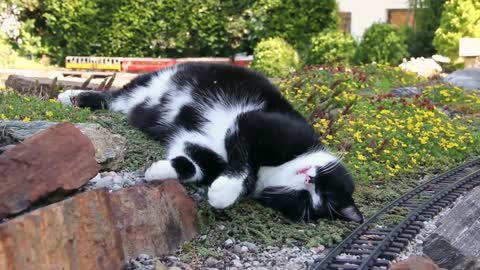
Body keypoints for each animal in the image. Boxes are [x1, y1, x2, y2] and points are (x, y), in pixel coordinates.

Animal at [58, 61, 362, 224]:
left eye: (307, 200)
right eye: (324, 187)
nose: (309, 178)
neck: (275, 171)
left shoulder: (199, 143)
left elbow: (193, 163)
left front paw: (160, 171)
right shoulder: (255, 123)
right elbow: (244, 161)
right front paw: (225, 192)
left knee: (117, 102)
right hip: (156, 79)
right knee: (116, 94)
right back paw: (69, 96)